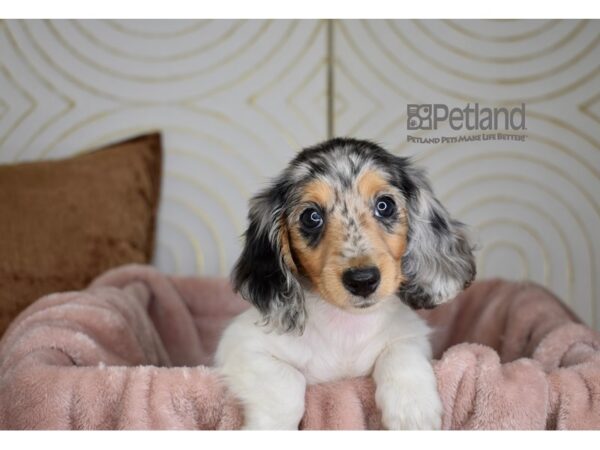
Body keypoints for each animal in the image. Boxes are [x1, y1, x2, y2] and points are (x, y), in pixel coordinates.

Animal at [213, 137, 476, 428]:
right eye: (311, 216)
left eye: (385, 205)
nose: (363, 280)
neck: (346, 327)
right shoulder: (242, 346)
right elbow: (286, 384)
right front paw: (270, 427)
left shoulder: (410, 335)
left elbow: (401, 355)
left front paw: (414, 413)